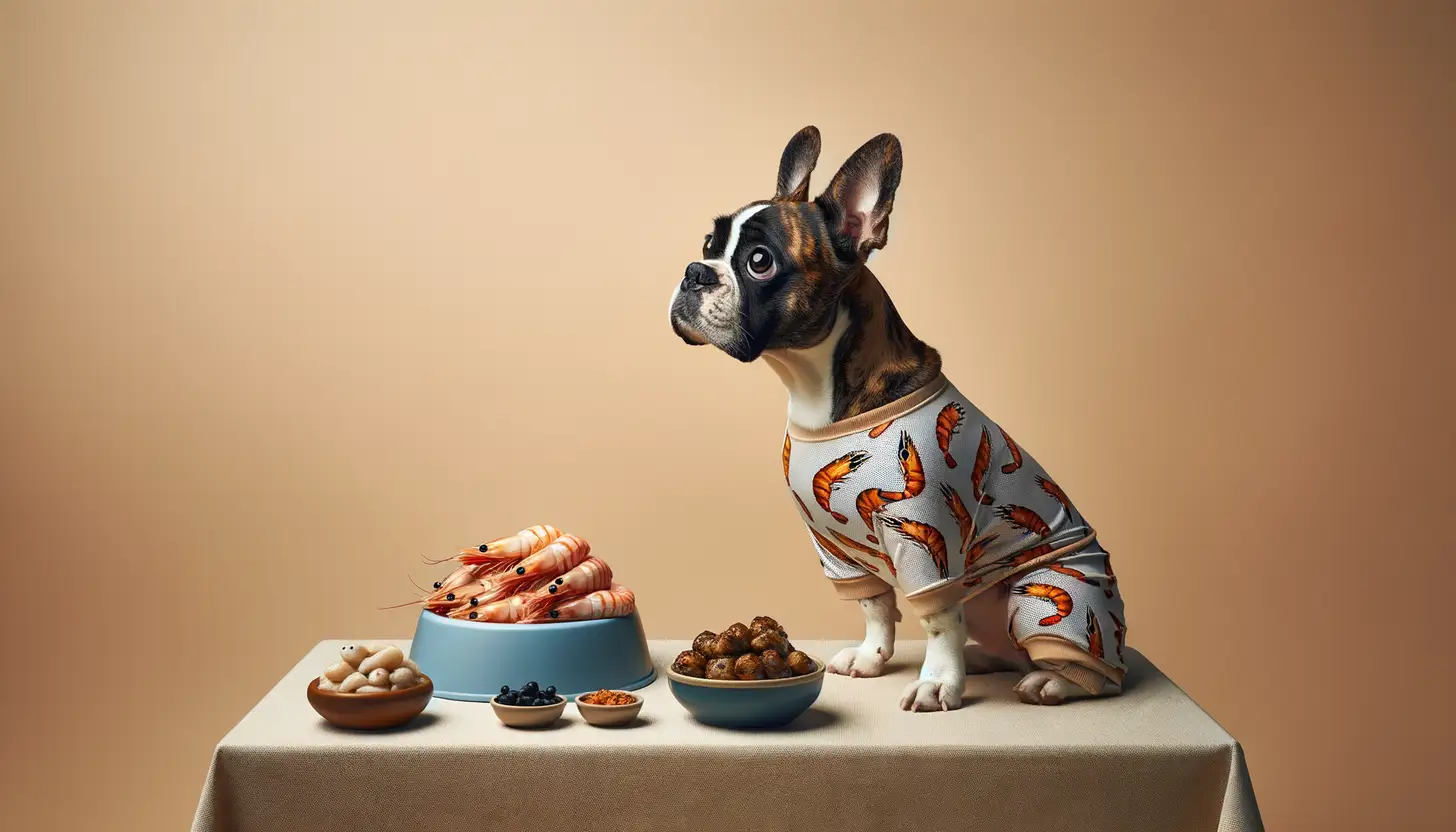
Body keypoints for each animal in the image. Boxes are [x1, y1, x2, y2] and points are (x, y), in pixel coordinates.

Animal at [666, 126, 1124, 713]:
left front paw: (937, 682)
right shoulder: (837, 549)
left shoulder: (928, 541)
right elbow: (876, 606)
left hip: (1044, 592)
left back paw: (1051, 680)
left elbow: (937, 619)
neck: (817, 388)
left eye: (759, 261)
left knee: (1092, 670)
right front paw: (872, 657)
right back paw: (987, 661)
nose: (694, 272)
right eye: (709, 246)